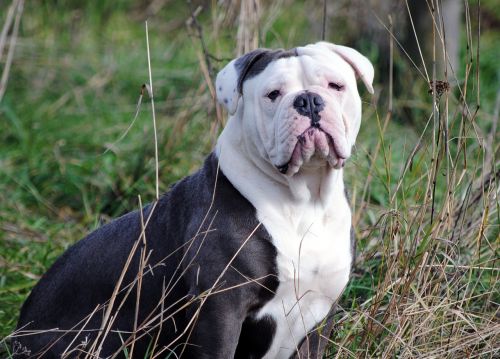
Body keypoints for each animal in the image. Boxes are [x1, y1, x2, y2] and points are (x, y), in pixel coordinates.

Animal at [11, 43, 374, 359]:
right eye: (273, 94)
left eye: (336, 85)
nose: (309, 100)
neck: (303, 199)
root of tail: (18, 330)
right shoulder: (219, 308)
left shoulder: (319, 313)